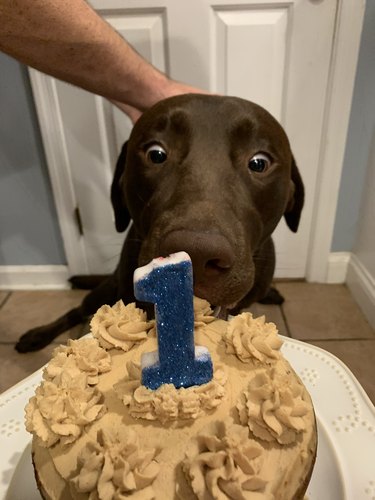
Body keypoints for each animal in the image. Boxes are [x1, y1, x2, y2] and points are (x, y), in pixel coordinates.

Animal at [14, 94, 304, 352]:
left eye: (259, 163)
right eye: (156, 154)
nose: (196, 254)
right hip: (102, 291)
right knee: (76, 310)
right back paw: (37, 336)